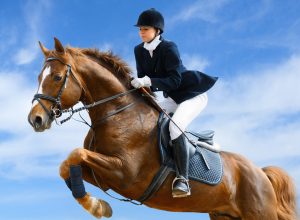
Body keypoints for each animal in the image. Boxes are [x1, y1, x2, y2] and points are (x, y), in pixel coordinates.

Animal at [27, 38, 296, 220]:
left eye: (57, 77)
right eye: (39, 77)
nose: (35, 120)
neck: (118, 113)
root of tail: (261, 173)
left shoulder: (125, 173)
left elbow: (76, 154)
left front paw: (96, 206)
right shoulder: (102, 176)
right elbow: (67, 165)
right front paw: (98, 205)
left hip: (259, 213)